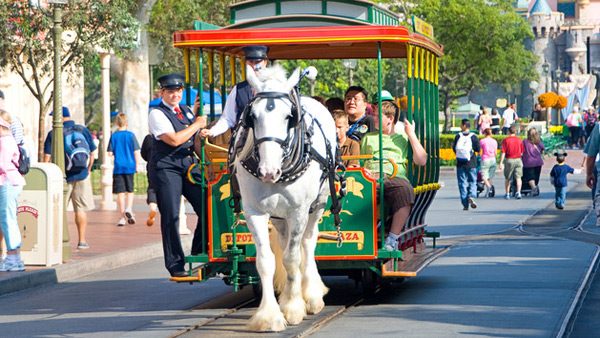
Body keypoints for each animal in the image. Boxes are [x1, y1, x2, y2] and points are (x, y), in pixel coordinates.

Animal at [234, 64, 338, 332]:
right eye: (252, 116)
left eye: (288, 116)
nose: (269, 172)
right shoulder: (255, 211)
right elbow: (265, 261)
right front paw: (269, 316)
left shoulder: (299, 210)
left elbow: (292, 258)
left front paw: (293, 307)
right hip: (279, 216)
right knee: (283, 241)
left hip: (318, 204)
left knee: (308, 243)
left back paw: (311, 295)